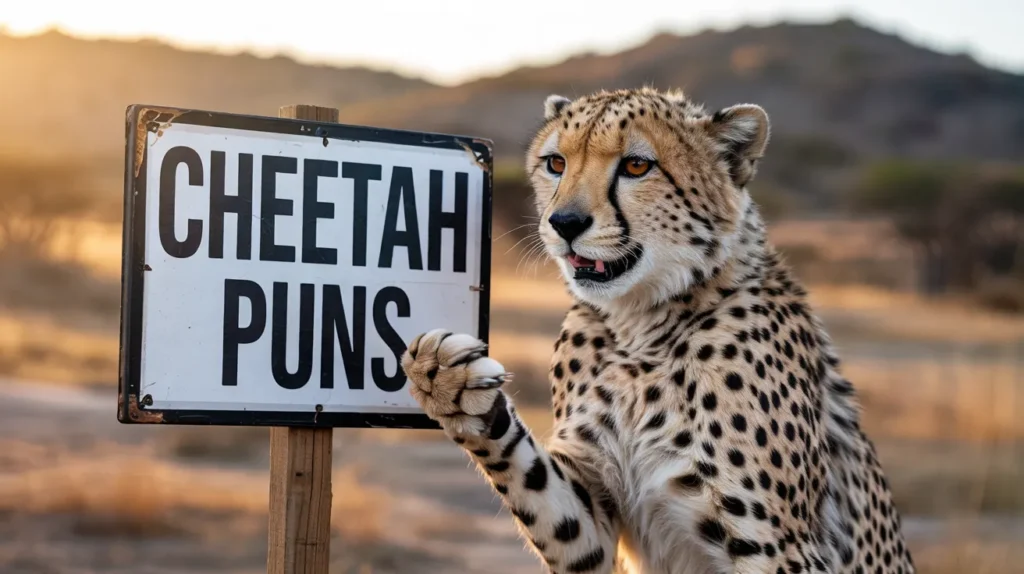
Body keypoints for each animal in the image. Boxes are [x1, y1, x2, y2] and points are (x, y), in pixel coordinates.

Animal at [400, 87, 915, 574]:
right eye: (556, 163)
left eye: (636, 165)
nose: (564, 222)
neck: (638, 328)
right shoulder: (593, 523)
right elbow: (531, 479)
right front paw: (448, 383)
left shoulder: (780, 548)